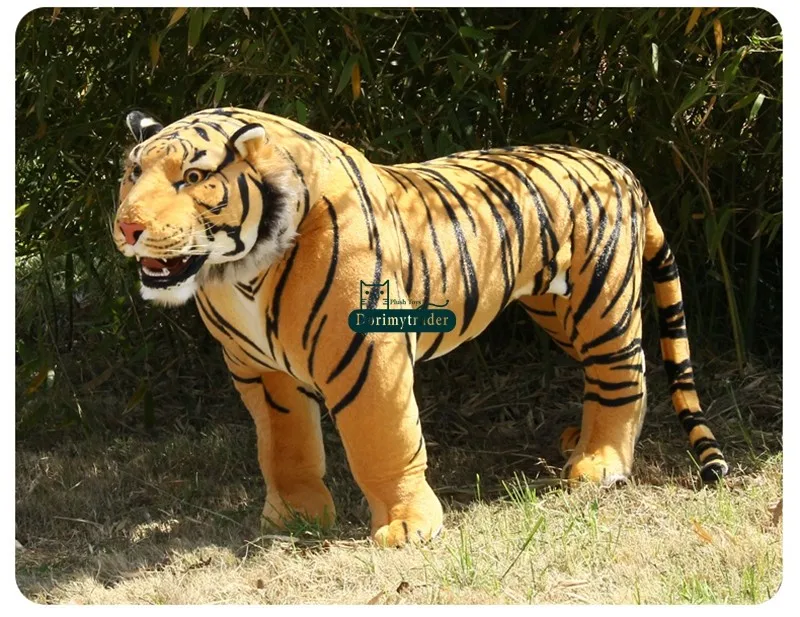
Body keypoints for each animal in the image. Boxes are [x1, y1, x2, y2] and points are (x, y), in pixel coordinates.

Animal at [113, 107, 729, 546]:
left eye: (193, 177)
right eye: (133, 172)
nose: (126, 227)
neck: (238, 270)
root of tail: (623, 170)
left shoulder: (368, 352)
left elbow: (382, 441)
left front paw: (407, 526)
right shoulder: (262, 372)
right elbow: (282, 447)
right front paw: (293, 518)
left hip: (601, 301)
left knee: (626, 375)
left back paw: (599, 463)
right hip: (557, 309)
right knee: (601, 379)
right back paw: (579, 441)